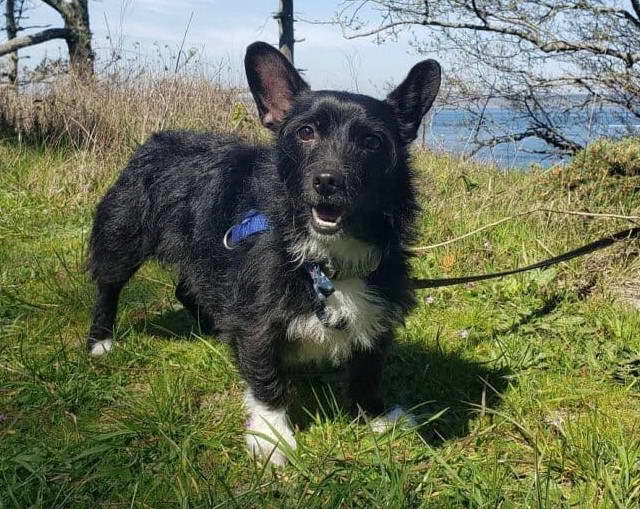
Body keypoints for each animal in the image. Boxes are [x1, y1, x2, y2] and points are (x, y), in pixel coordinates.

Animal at [86, 42, 440, 464]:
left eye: (372, 141)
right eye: (306, 132)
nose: (328, 182)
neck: (324, 258)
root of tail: (158, 140)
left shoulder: (378, 309)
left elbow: (367, 369)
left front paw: (377, 416)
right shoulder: (258, 318)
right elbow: (267, 377)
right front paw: (272, 436)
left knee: (188, 290)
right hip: (123, 235)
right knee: (108, 286)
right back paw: (101, 341)